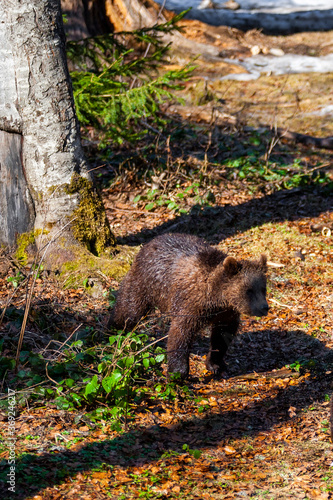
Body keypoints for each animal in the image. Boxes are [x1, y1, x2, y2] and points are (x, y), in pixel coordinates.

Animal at [107, 234, 268, 378]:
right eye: (249, 290)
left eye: (263, 289)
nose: (264, 308)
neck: (217, 297)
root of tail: (149, 243)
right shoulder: (191, 305)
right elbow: (181, 333)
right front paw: (178, 373)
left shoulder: (226, 313)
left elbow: (222, 335)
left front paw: (215, 365)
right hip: (146, 282)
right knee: (130, 309)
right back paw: (114, 329)